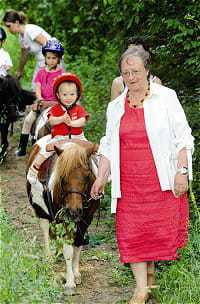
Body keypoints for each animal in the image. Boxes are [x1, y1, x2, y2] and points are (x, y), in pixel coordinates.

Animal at [26, 140, 101, 294]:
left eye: (87, 176)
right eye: (62, 177)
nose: (74, 211)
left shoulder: (86, 219)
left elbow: (77, 244)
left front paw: (75, 273)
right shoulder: (64, 219)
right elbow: (68, 250)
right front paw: (70, 283)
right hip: (41, 213)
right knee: (45, 232)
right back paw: (49, 258)